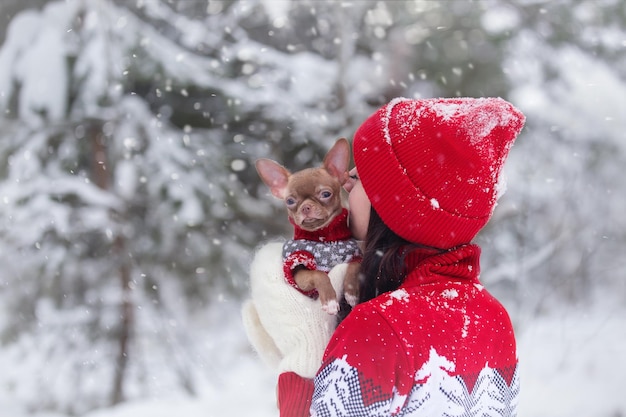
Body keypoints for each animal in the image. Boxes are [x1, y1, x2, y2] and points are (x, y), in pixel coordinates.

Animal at [255, 138, 360, 314]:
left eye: (326, 194)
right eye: (290, 201)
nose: (306, 207)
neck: (324, 237)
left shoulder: (355, 255)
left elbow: (353, 265)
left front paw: (352, 292)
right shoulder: (299, 272)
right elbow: (319, 274)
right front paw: (330, 300)